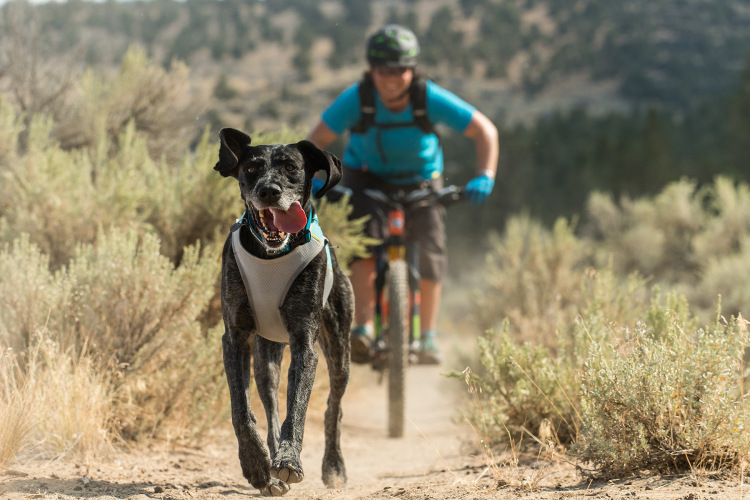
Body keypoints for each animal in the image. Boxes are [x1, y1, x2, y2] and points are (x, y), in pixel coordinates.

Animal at [214, 129, 356, 496]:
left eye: (291, 167)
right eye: (251, 168)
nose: (269, 191)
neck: (271, 255)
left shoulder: (305, 341)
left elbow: (298, 407)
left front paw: (289, 460)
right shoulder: (235, 337)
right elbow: (241, 408)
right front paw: (256, 465)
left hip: (339, 350)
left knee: (334, 408)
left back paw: (334, 466)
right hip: (266, 356)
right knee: (270, 404)